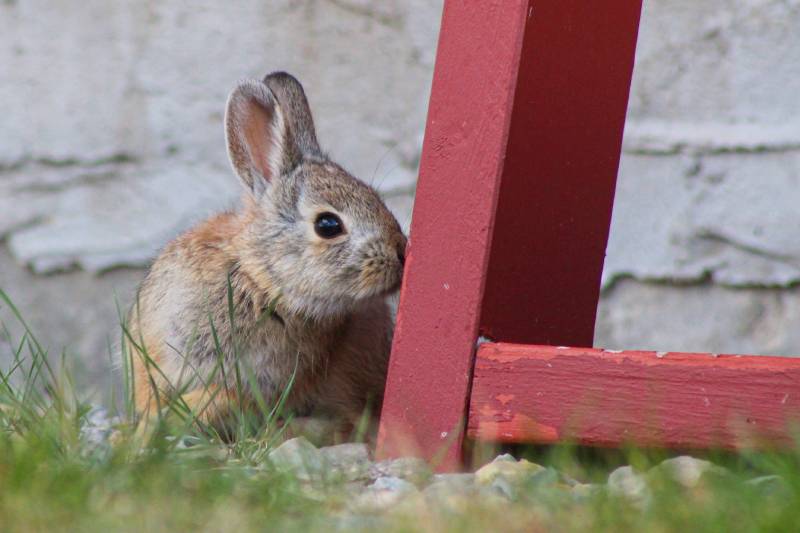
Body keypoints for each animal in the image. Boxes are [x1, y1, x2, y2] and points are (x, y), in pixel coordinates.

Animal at [128, 69, 410, 436]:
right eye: (328, 225)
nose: (401, 252)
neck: (258, 280)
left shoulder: (261, 382)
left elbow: (219, 397)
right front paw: (145, 429)